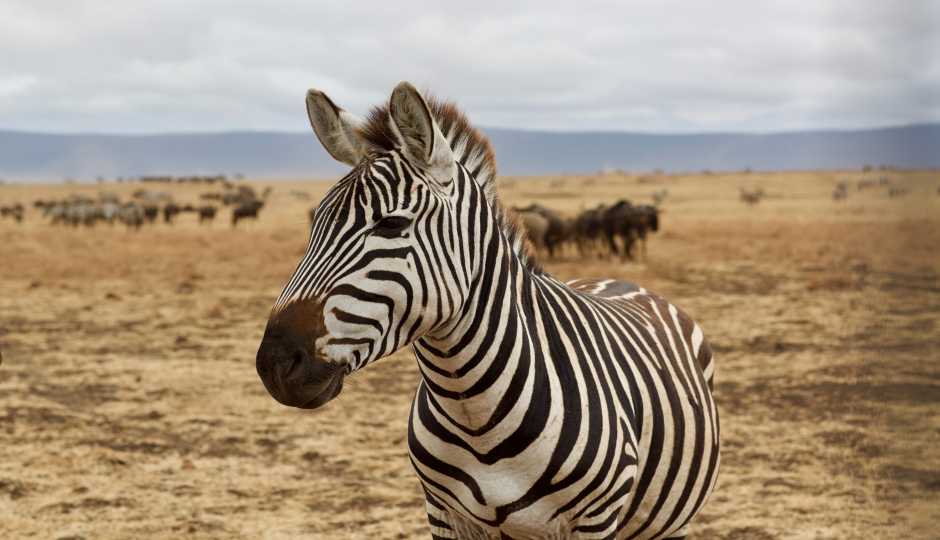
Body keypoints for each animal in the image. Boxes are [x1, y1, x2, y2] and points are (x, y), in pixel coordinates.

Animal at [255, 82, 720, 536]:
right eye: (314, 223)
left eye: (391, 224)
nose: (274, 363)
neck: (473, 411)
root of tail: (625, 282)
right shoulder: (443, 512)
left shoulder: (595, 519)